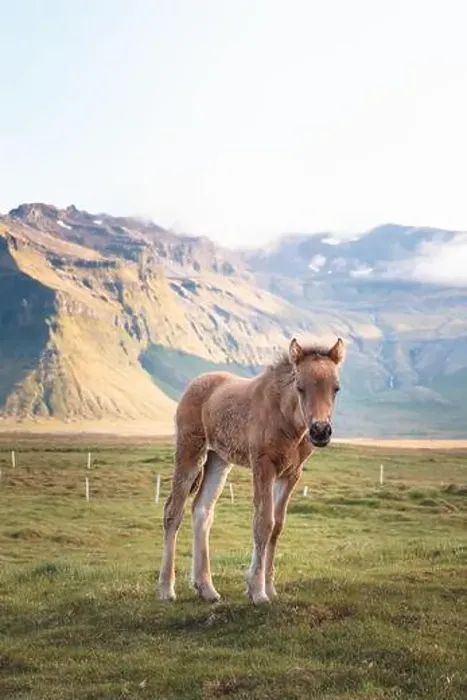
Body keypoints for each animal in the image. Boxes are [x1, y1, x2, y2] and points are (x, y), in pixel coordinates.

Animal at [158, 336, 345, 605]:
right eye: (300, 387)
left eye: (336, 388)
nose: (320, 431)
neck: (286, 418)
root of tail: (194, 384)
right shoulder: (263, 465)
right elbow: (263, 523)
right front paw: (257, 591)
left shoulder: (291, 473)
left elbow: (277, 526)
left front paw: (269, 586)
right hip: (190, 451)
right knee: (173, 512)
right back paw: (166, 589)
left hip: (218, 460)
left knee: (202, 511)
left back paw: (207, 588)